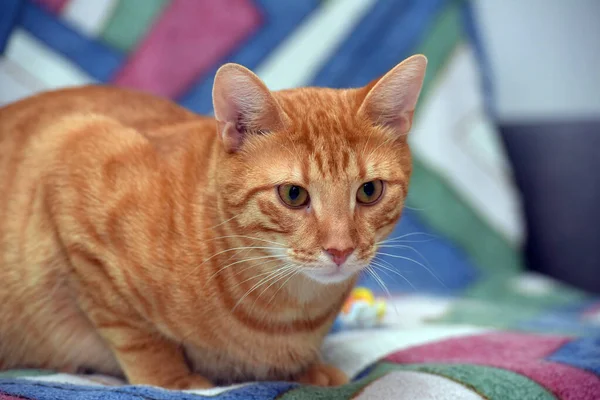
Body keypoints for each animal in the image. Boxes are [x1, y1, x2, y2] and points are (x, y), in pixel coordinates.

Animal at [0, 55, 426, 388]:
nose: (340, 250)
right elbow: (137, 335)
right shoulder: (73, 150)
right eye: (293, 195)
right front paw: (173, 379)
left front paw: (308, 370)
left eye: (369, 191)